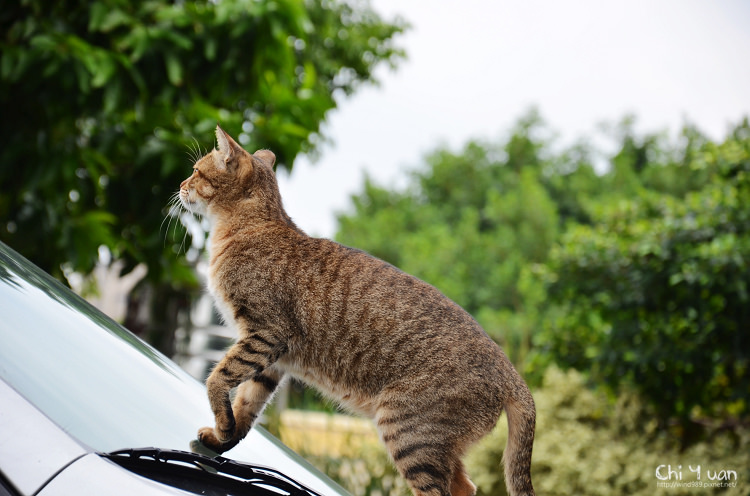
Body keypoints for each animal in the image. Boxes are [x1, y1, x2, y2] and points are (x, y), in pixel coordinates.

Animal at [179, 125, 536, 496]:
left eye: (196, 171)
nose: (180, 185)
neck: (250, 227)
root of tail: (509, 371)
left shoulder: (265, 334)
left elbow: (218, 378)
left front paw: (222, 424)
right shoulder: (273, 360)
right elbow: (247, 406)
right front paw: (222, 438)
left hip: (408, 432)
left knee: (439, 489)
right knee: (466, 485)